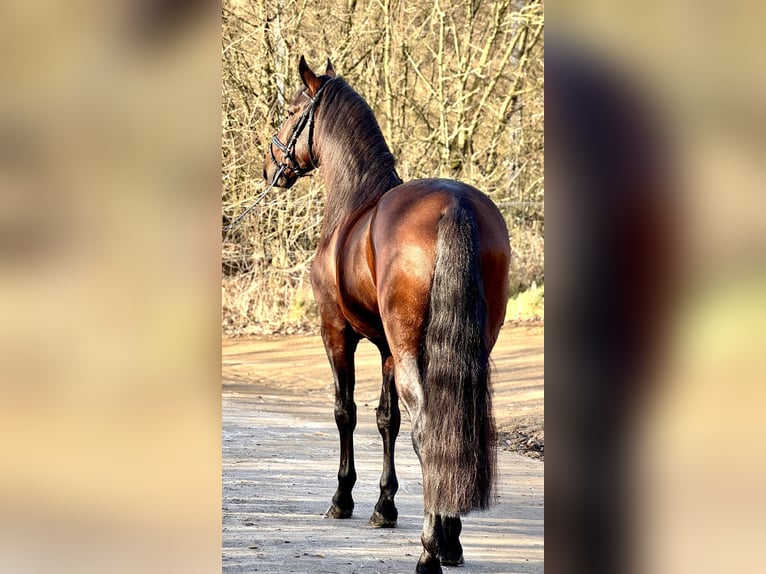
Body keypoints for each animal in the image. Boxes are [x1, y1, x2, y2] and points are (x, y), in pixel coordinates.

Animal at [268, 57, 512, 574]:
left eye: (293, 111)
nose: (271, 164)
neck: (354, 202)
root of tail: (454, 204)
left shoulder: (336, 332)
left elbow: (346, 411)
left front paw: (343, 499)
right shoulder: (384, 348)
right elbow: (386, 420)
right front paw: (384, 506)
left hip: (401, 348)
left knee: (427, 427)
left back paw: (429, 551)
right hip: (461, 347)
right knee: (452, 423)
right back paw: (451, 541)